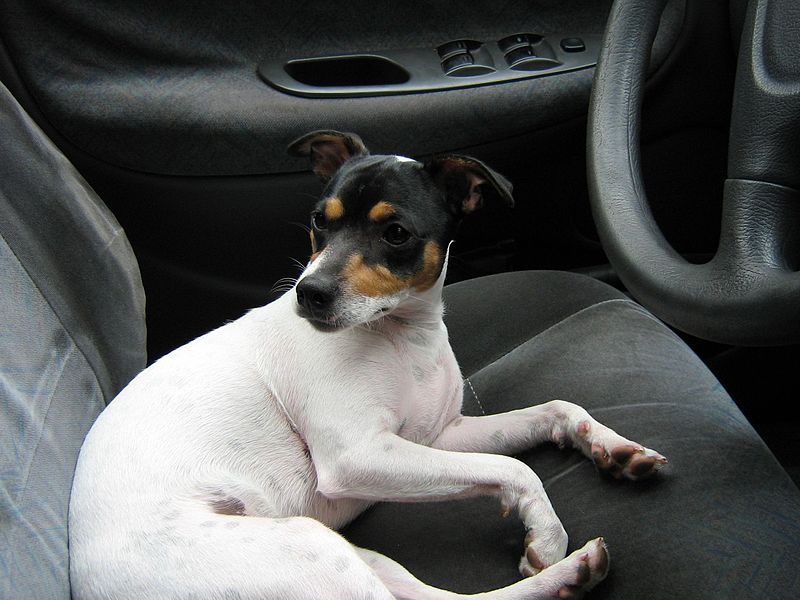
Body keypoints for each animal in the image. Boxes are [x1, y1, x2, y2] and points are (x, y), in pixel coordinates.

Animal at [70, 131, 668, 600]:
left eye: (395, 233)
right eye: (318, 222)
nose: (309, 293)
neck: (401, 337)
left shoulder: (439, 438)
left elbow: (554, 409)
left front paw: (611, 447)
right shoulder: (359, 456)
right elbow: (515, 469)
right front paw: (545, 533)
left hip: (356, 555)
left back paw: (573, 575)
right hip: (311, 550)